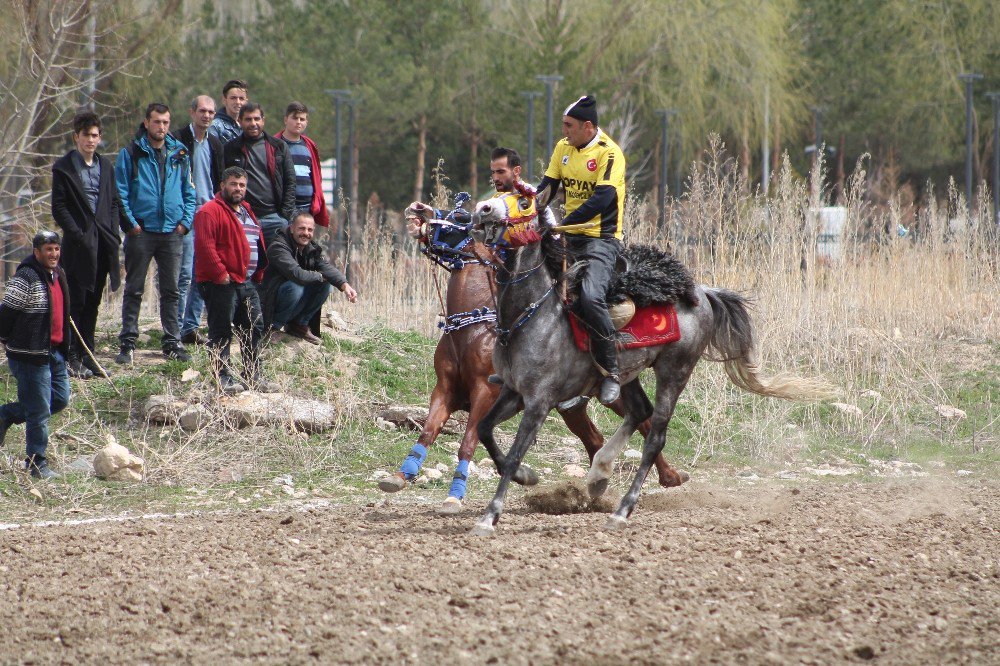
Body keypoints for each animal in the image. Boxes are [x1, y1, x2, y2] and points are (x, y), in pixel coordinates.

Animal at [376, 195, 688, 510]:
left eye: (460, 216)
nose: (418, 211)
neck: (471, 330)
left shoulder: (485, 393)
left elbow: (468, 440)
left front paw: (456, 493)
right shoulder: (445, 390)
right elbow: (428, 431)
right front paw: (401, 475)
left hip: (611, 393)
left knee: (644, 421)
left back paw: (670, 476)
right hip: (572, 407)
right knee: (595, 438)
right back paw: (595, 486)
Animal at [468, 197, 836, 536]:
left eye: (522, 201)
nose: (482, 209)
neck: (533, 316)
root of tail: (701, 292)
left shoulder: (539, 402)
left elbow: (514, 452)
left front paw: (489, 517)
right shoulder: (514, 392)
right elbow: (485, 429)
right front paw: (526, 477)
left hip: (674, 372)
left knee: (655, 436)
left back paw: (621, 510)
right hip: (629, 374)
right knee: (638, 410)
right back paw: (598, 475)